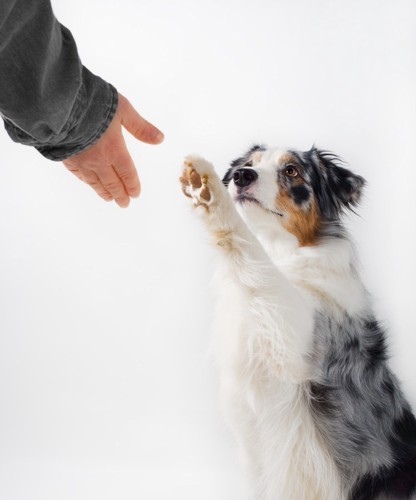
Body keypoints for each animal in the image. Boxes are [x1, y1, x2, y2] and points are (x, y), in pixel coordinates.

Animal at [179, 146, 416, 500]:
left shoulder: (296, 342)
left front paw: (207, 189)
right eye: (249, 164)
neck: (282, 252)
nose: (241, 176)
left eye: (291, 171)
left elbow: (258, 263)